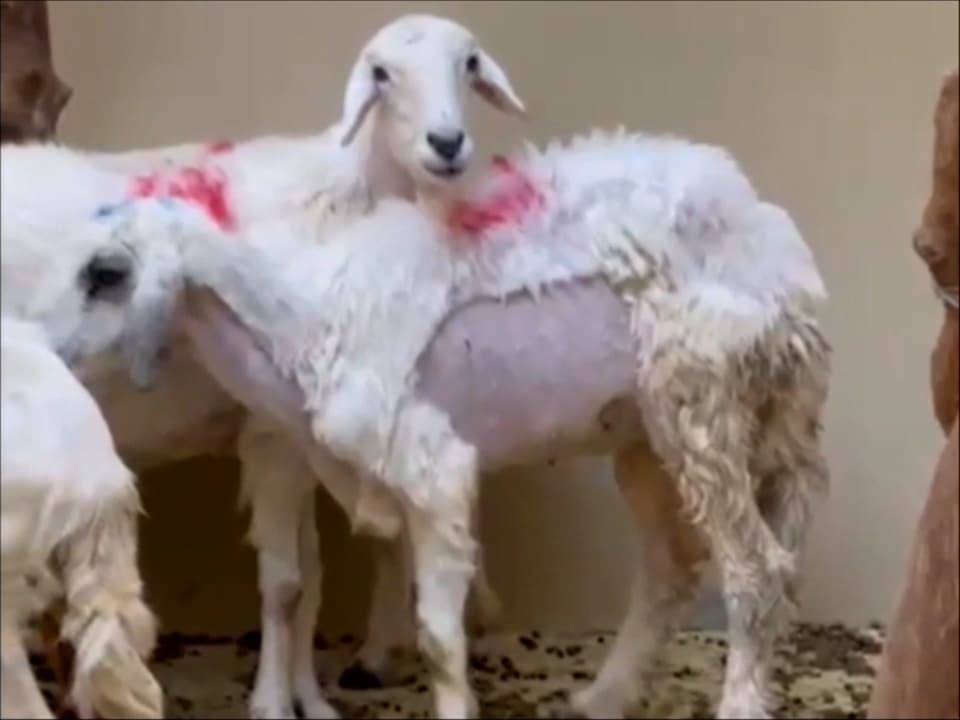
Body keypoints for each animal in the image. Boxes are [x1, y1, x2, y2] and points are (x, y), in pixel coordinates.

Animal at [2, 14, 526, 718]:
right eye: (382, 74)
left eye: (469, 63)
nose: (446, 144)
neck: (342, 199)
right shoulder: (271, 432)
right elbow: (287, 585)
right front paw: (275, 701)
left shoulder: (294, 436)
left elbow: (309, 577)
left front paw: (311, 697)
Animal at [175, 129, 831, 720]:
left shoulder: (414, 458)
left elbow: (419, 624)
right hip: (649, 434)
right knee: (672, 566)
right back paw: (601, 699)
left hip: (703, 400)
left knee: (758, 572)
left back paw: (732, 703)